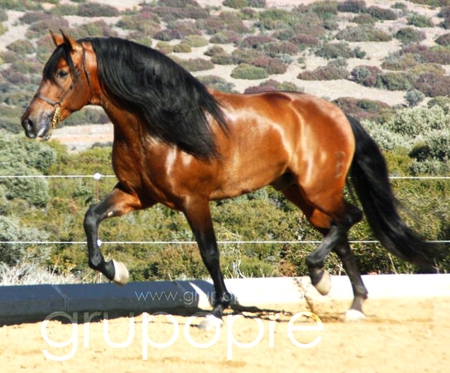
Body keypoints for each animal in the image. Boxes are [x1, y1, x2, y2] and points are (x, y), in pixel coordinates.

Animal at [22, 31, 436, 328]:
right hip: (299, 192)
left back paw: (320, 274)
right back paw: (351, 301)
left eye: (61, 73)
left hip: (319, 188)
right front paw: (116, 271)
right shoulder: (134, 194)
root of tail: (336, 113)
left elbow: (210, 252)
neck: (156, 125)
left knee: (349, 218)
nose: (30, 123)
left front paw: (219, 309)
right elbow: (91, 219)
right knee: (339, 230)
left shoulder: (193, 200)